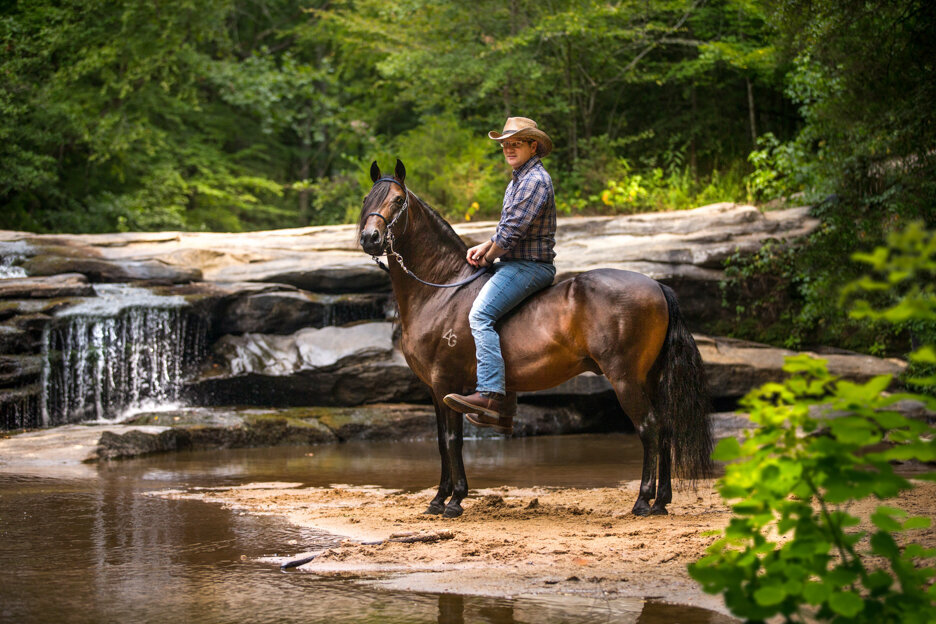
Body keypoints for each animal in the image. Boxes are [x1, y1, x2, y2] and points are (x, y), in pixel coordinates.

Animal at [356, 160, 708, 516]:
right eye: (366, 199)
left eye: (398, 200)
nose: (370, 238)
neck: (442, 290)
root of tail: (657, 285)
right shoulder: (434, 388)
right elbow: (442, 441)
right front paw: (438, 499)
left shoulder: (446, 382)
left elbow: (452, 440)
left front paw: (454, 500)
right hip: (651, 377)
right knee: (665, 428)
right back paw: (661, 500)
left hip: (625, 378)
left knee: (649, 428)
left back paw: (642, 500)